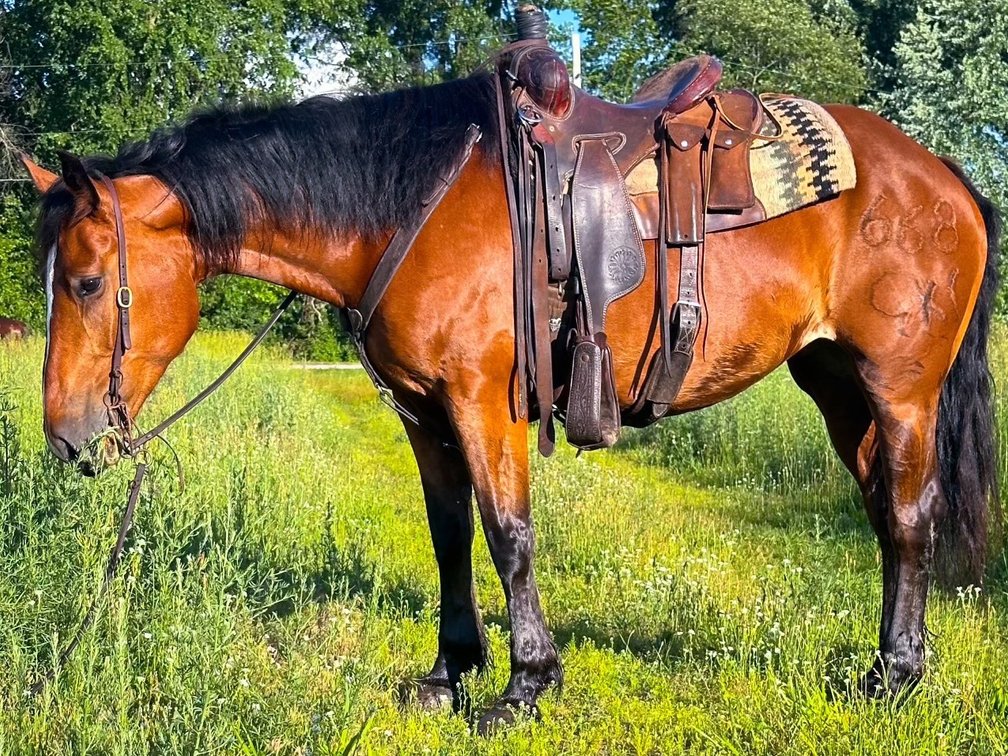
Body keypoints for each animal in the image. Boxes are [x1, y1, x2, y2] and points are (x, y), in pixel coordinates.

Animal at [22, 69, 999, 733]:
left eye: (85, 282)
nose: (66, 440)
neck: (407, 204)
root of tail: (944, 175)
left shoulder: (481, 403)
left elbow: (508, 533)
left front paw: (525, 683)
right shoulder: (422, 412)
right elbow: (450, 534)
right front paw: (450, 671)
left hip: (900, 392)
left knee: (910, 517)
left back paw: (896, 677)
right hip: (836, 386)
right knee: (884, 518)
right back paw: (882, 666)